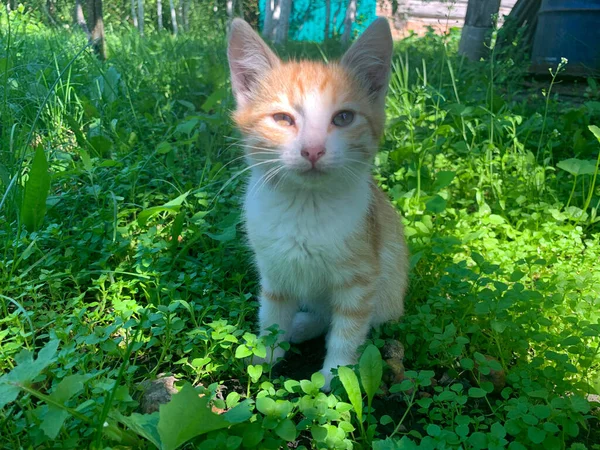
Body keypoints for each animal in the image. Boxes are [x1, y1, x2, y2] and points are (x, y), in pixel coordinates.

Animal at [227, 18, 410, 390]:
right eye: (282, 119)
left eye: (343, 118)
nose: (312, 150)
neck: (305, 206)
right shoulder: (274, 271)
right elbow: (272, 314)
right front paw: (266, 356)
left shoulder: (361, 279)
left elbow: (348, 328)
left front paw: (333, 379)